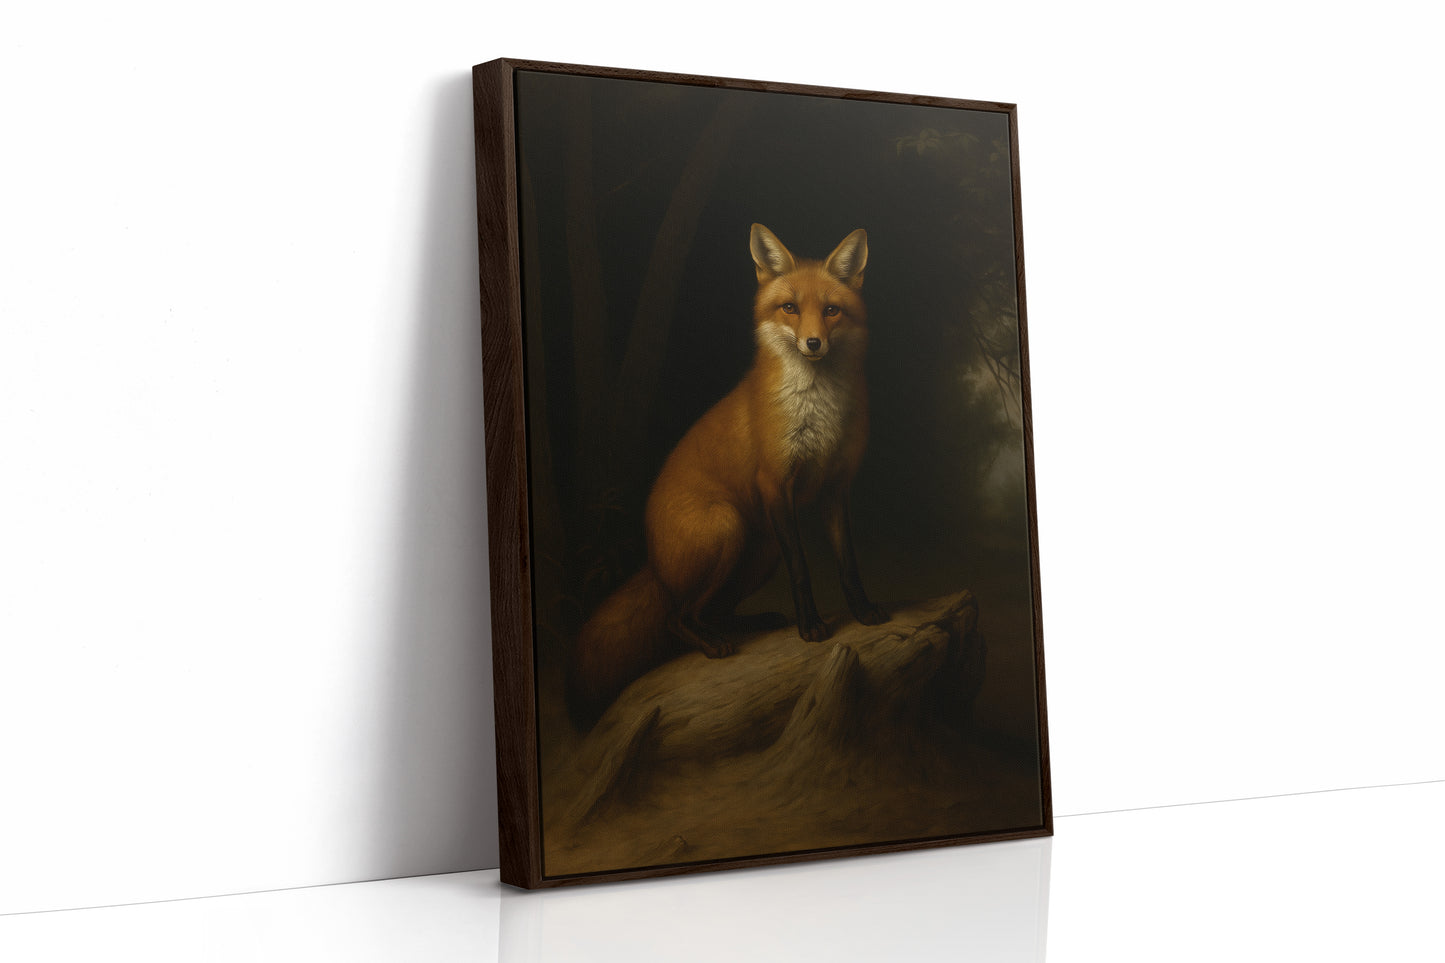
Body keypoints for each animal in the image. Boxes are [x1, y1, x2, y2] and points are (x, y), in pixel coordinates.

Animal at [566, 223, 888, 728]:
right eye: (790, 308)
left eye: (831, 311)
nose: (813, 344)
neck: (818, 414)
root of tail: (653, 563)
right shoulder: (775, 484)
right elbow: (802, 570)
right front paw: (811, 626)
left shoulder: (836, 488)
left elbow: (847, 562)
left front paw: (862, 609)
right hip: (728, 527)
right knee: (678, 617)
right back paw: (712, 644)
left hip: (761, 550)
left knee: (712, 610)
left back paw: (750, 623)